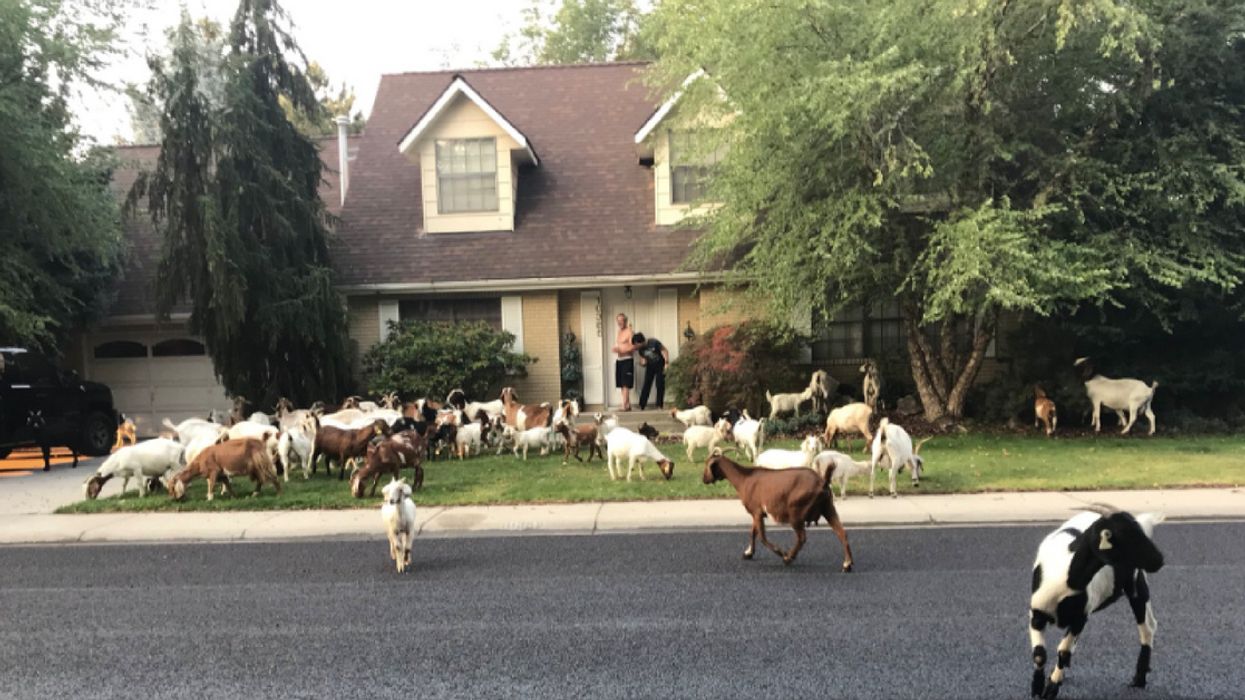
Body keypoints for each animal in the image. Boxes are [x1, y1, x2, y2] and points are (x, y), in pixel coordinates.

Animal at [702, 452, 853, 571]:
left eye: (707, 465)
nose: (703, 479)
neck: (744, 479)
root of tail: (822, 482)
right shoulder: (757, 513)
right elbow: (752, 532)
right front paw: (748, 553)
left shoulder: (757, 512)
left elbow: (762, 537)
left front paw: (780, 552)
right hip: (828, 508)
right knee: (842, 533)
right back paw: (847, 564)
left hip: (796, 512)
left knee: (802, 537)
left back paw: (788, 558)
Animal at [1029, 505, 1165, 699]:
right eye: (1125, 534)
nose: (1159, 560)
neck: (1065, 574)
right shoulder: (1037, 614)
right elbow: (1040, 654)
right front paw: (1037, 688)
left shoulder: (1081, 618)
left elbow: (1063, 651)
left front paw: (1051, 689)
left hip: (1136, 583)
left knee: (1148, 628)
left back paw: (1139, 680)